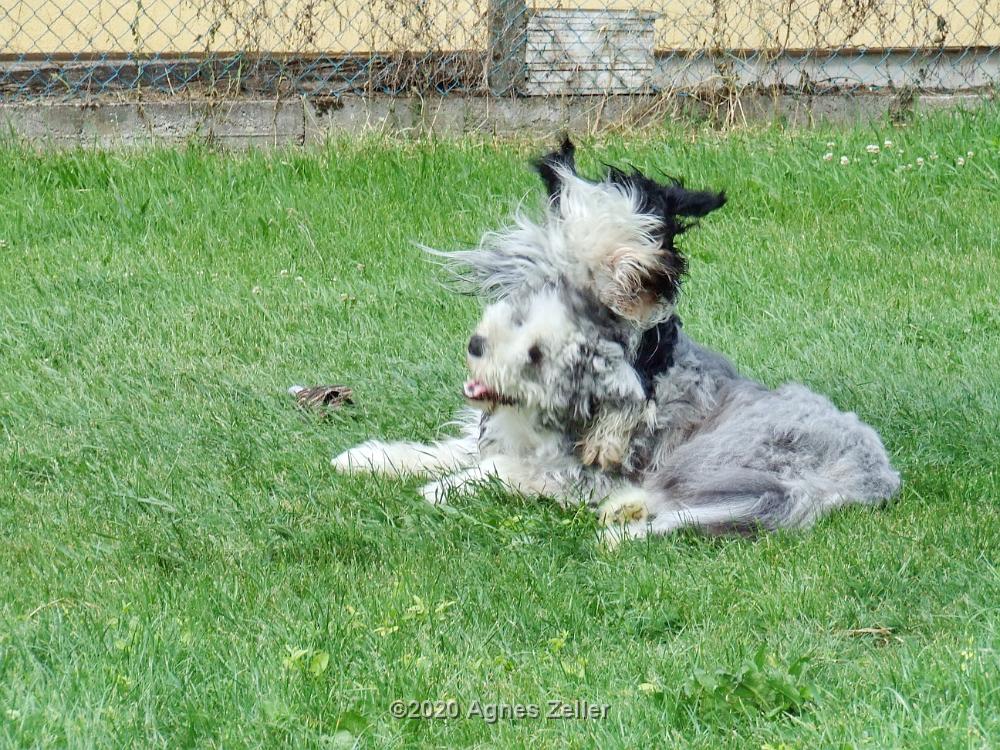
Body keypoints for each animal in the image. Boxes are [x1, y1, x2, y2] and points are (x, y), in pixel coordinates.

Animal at [334, 141, 900, 544]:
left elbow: (497, 470)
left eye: (652, 230)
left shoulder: (574, 470)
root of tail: (872, 478)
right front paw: (371, 459)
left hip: (716, 462)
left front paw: (441, 488)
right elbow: (447, 450)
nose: (477, 345)